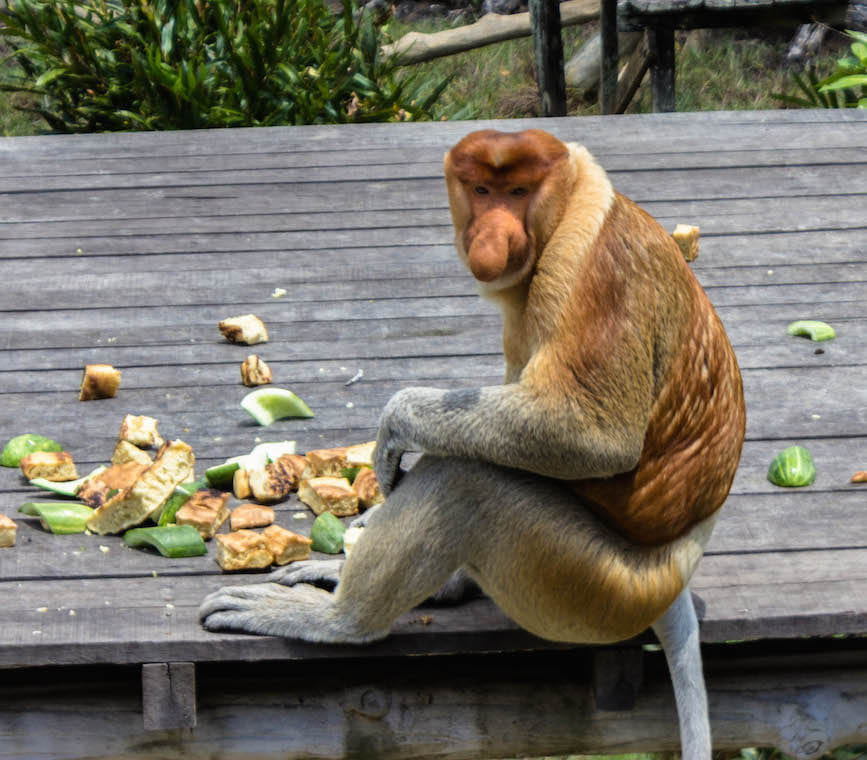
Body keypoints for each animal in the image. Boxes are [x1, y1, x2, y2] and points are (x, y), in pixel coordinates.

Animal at [200, 129, 746, 758]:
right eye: (482, 190)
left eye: (518, 192)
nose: (492, 235)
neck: (569, 206)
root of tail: (675, 574)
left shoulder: (584, 270)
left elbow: (592, 435)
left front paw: (396, 426)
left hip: (588, 584)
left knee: (466, 480)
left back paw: (339, 620)